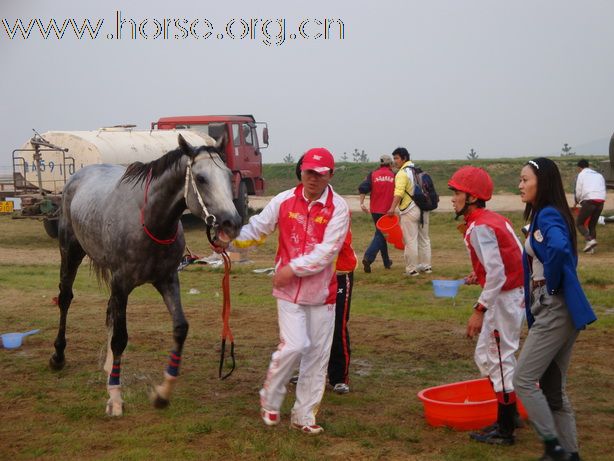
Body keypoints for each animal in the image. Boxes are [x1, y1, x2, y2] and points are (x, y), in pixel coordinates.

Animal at [50, 132, 243, 414]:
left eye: (229, 176)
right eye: (201, 178)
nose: (232, 223)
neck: (151, 221)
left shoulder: (167, 280)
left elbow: (180, 328)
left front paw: (162, 392)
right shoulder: (122, 282)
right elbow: (120, 338)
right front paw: (115, 397)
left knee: (109, 310)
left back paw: (109, 366)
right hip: (71, 252)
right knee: (65, 299)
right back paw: (58, 356)